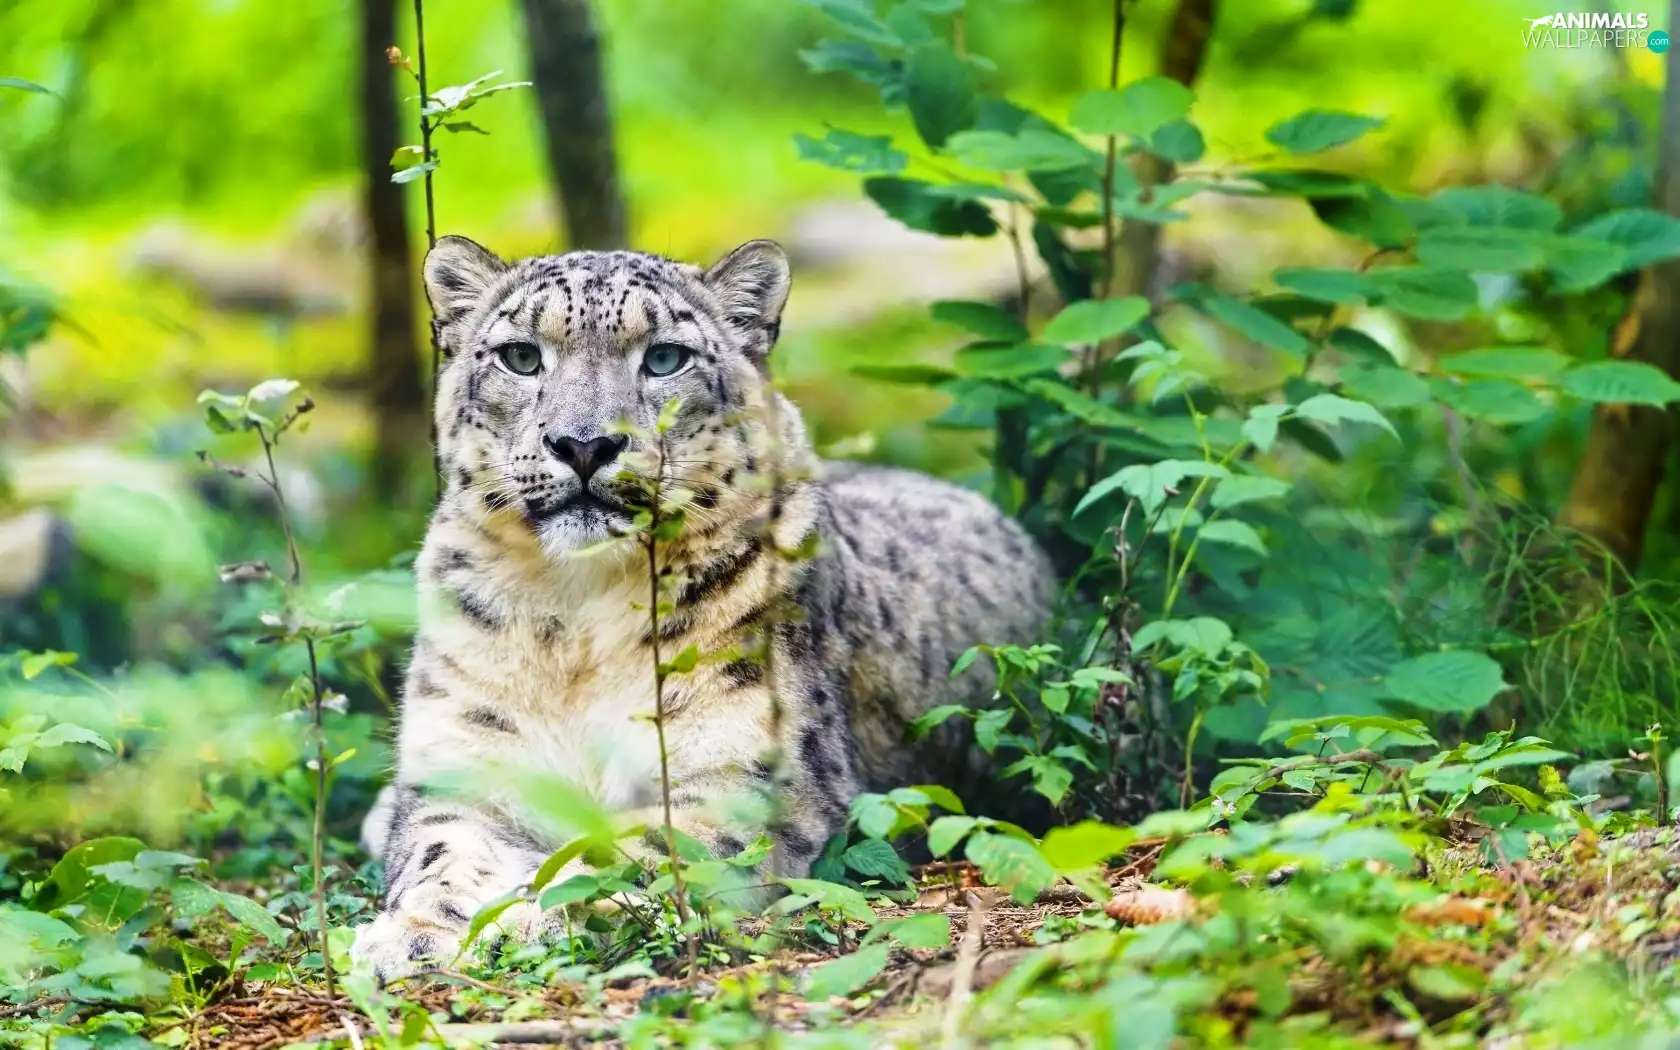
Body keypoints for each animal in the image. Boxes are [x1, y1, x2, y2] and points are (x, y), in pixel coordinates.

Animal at [350, 234, 1055, 979]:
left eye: (665, 358)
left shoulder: (742, 778)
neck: (578, 616)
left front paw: (529, 919)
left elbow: (632, 854)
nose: (583, 444)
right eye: (520, 355)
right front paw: (410, 934)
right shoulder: (469, 769)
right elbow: (442, 851)